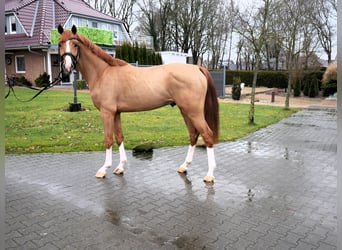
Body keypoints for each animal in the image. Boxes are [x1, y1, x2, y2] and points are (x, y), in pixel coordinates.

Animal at [58, 24, 219, 182]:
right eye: (60, 44)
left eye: (75, 44)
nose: (67, 67)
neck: (103, 72)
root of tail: (197, 68)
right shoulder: (116, 113)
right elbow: (119, 137)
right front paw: (120, 167)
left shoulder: (107, 112)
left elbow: (108, 139)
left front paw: (104, 169)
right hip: (185, 110)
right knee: (193, 134)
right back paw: (184, 166)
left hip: (193, 111)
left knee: (207, 134)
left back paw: (210, 174)